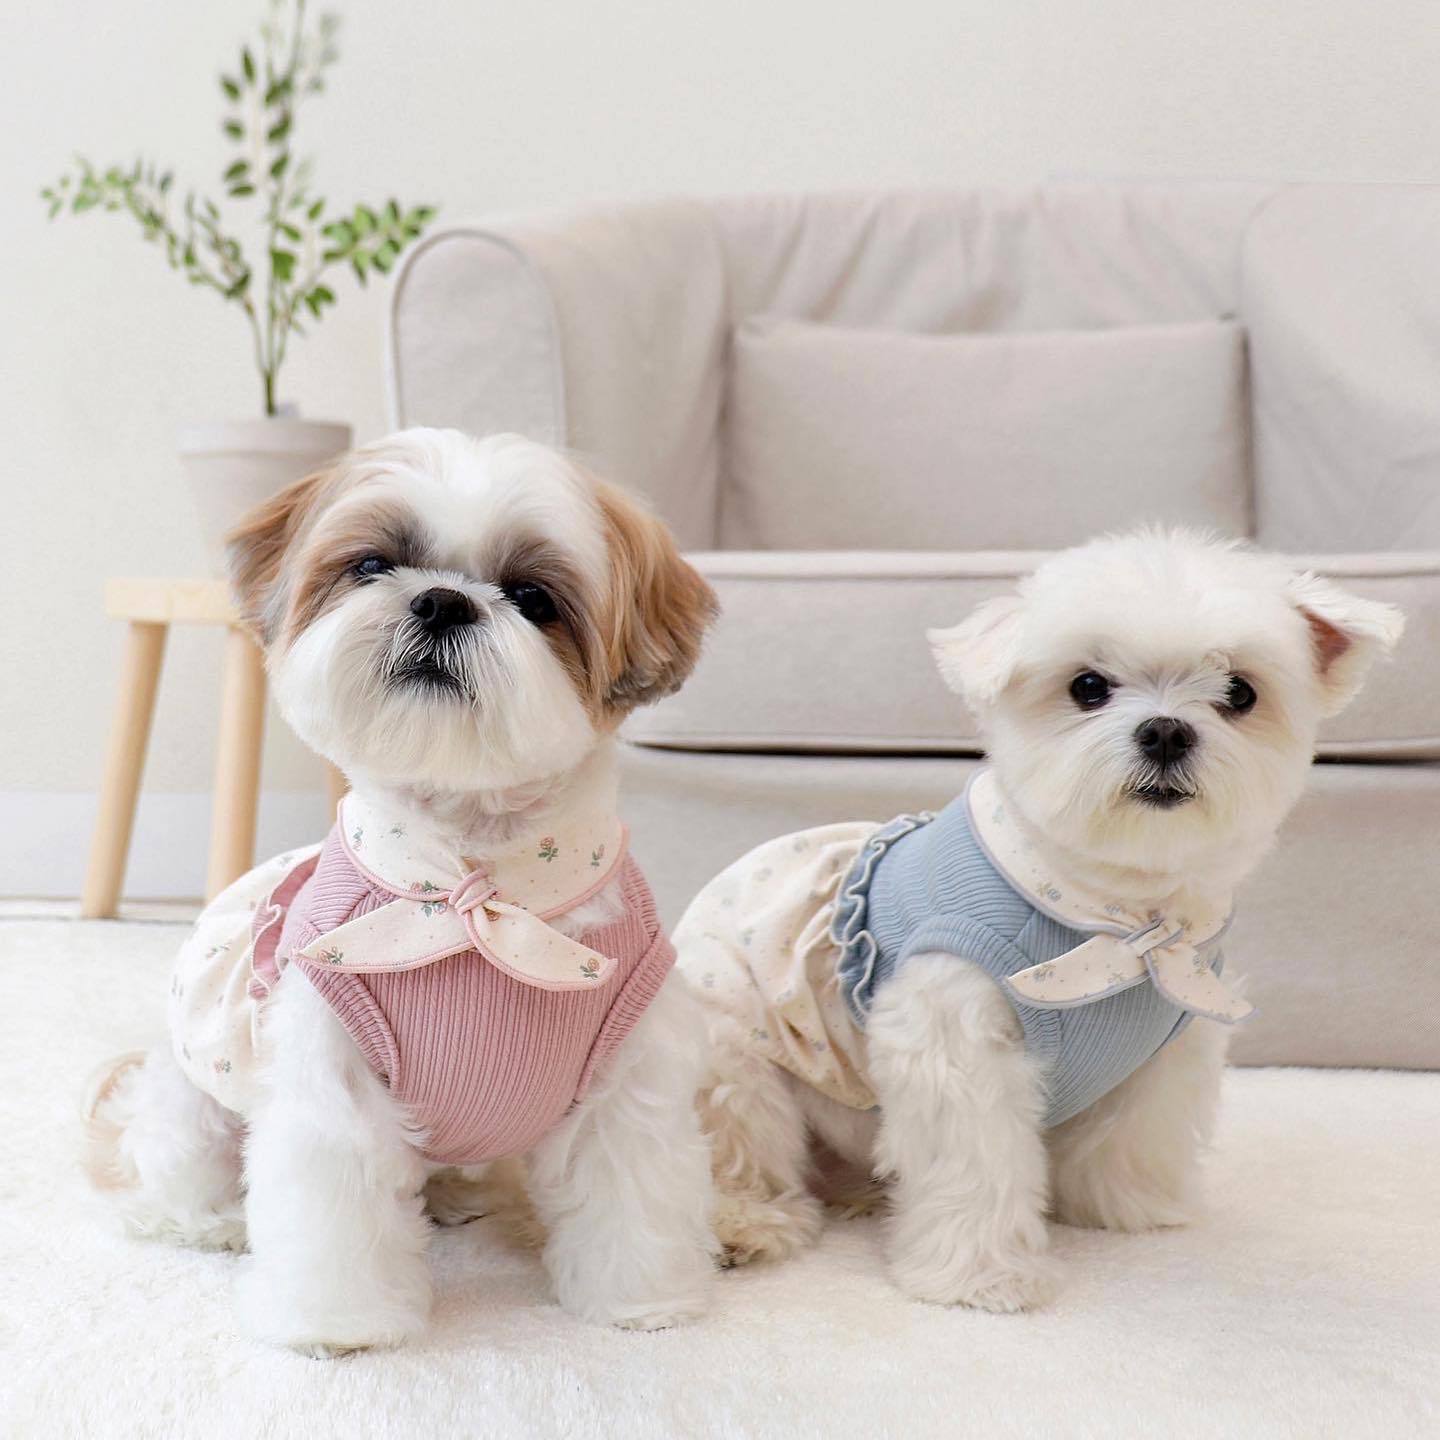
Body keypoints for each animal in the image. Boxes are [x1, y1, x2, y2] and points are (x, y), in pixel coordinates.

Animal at [81, 426, 720, 1347]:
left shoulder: (626, 1079)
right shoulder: (332, 1075)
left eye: (533, 596)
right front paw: (337, 1324)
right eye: (373, 565)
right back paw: (211, 1223)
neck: (474, 888)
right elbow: (333, 1204)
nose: (443, 602)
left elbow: (632, 1192)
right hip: (195, 1103)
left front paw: (643, 1303)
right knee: (170, 1175)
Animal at [676, 532, 1405, 1319]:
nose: (1166, 730)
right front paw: (981, 1279)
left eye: (1240, 692)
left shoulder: (1166, 1044)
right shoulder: (957, 1044)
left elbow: (1128, 1137)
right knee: (737, 1148)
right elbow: (977, 1169)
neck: (1122, 917)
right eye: (1088, 687)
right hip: (733, 1054)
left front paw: (1128, 1208)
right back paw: (744, 1225)